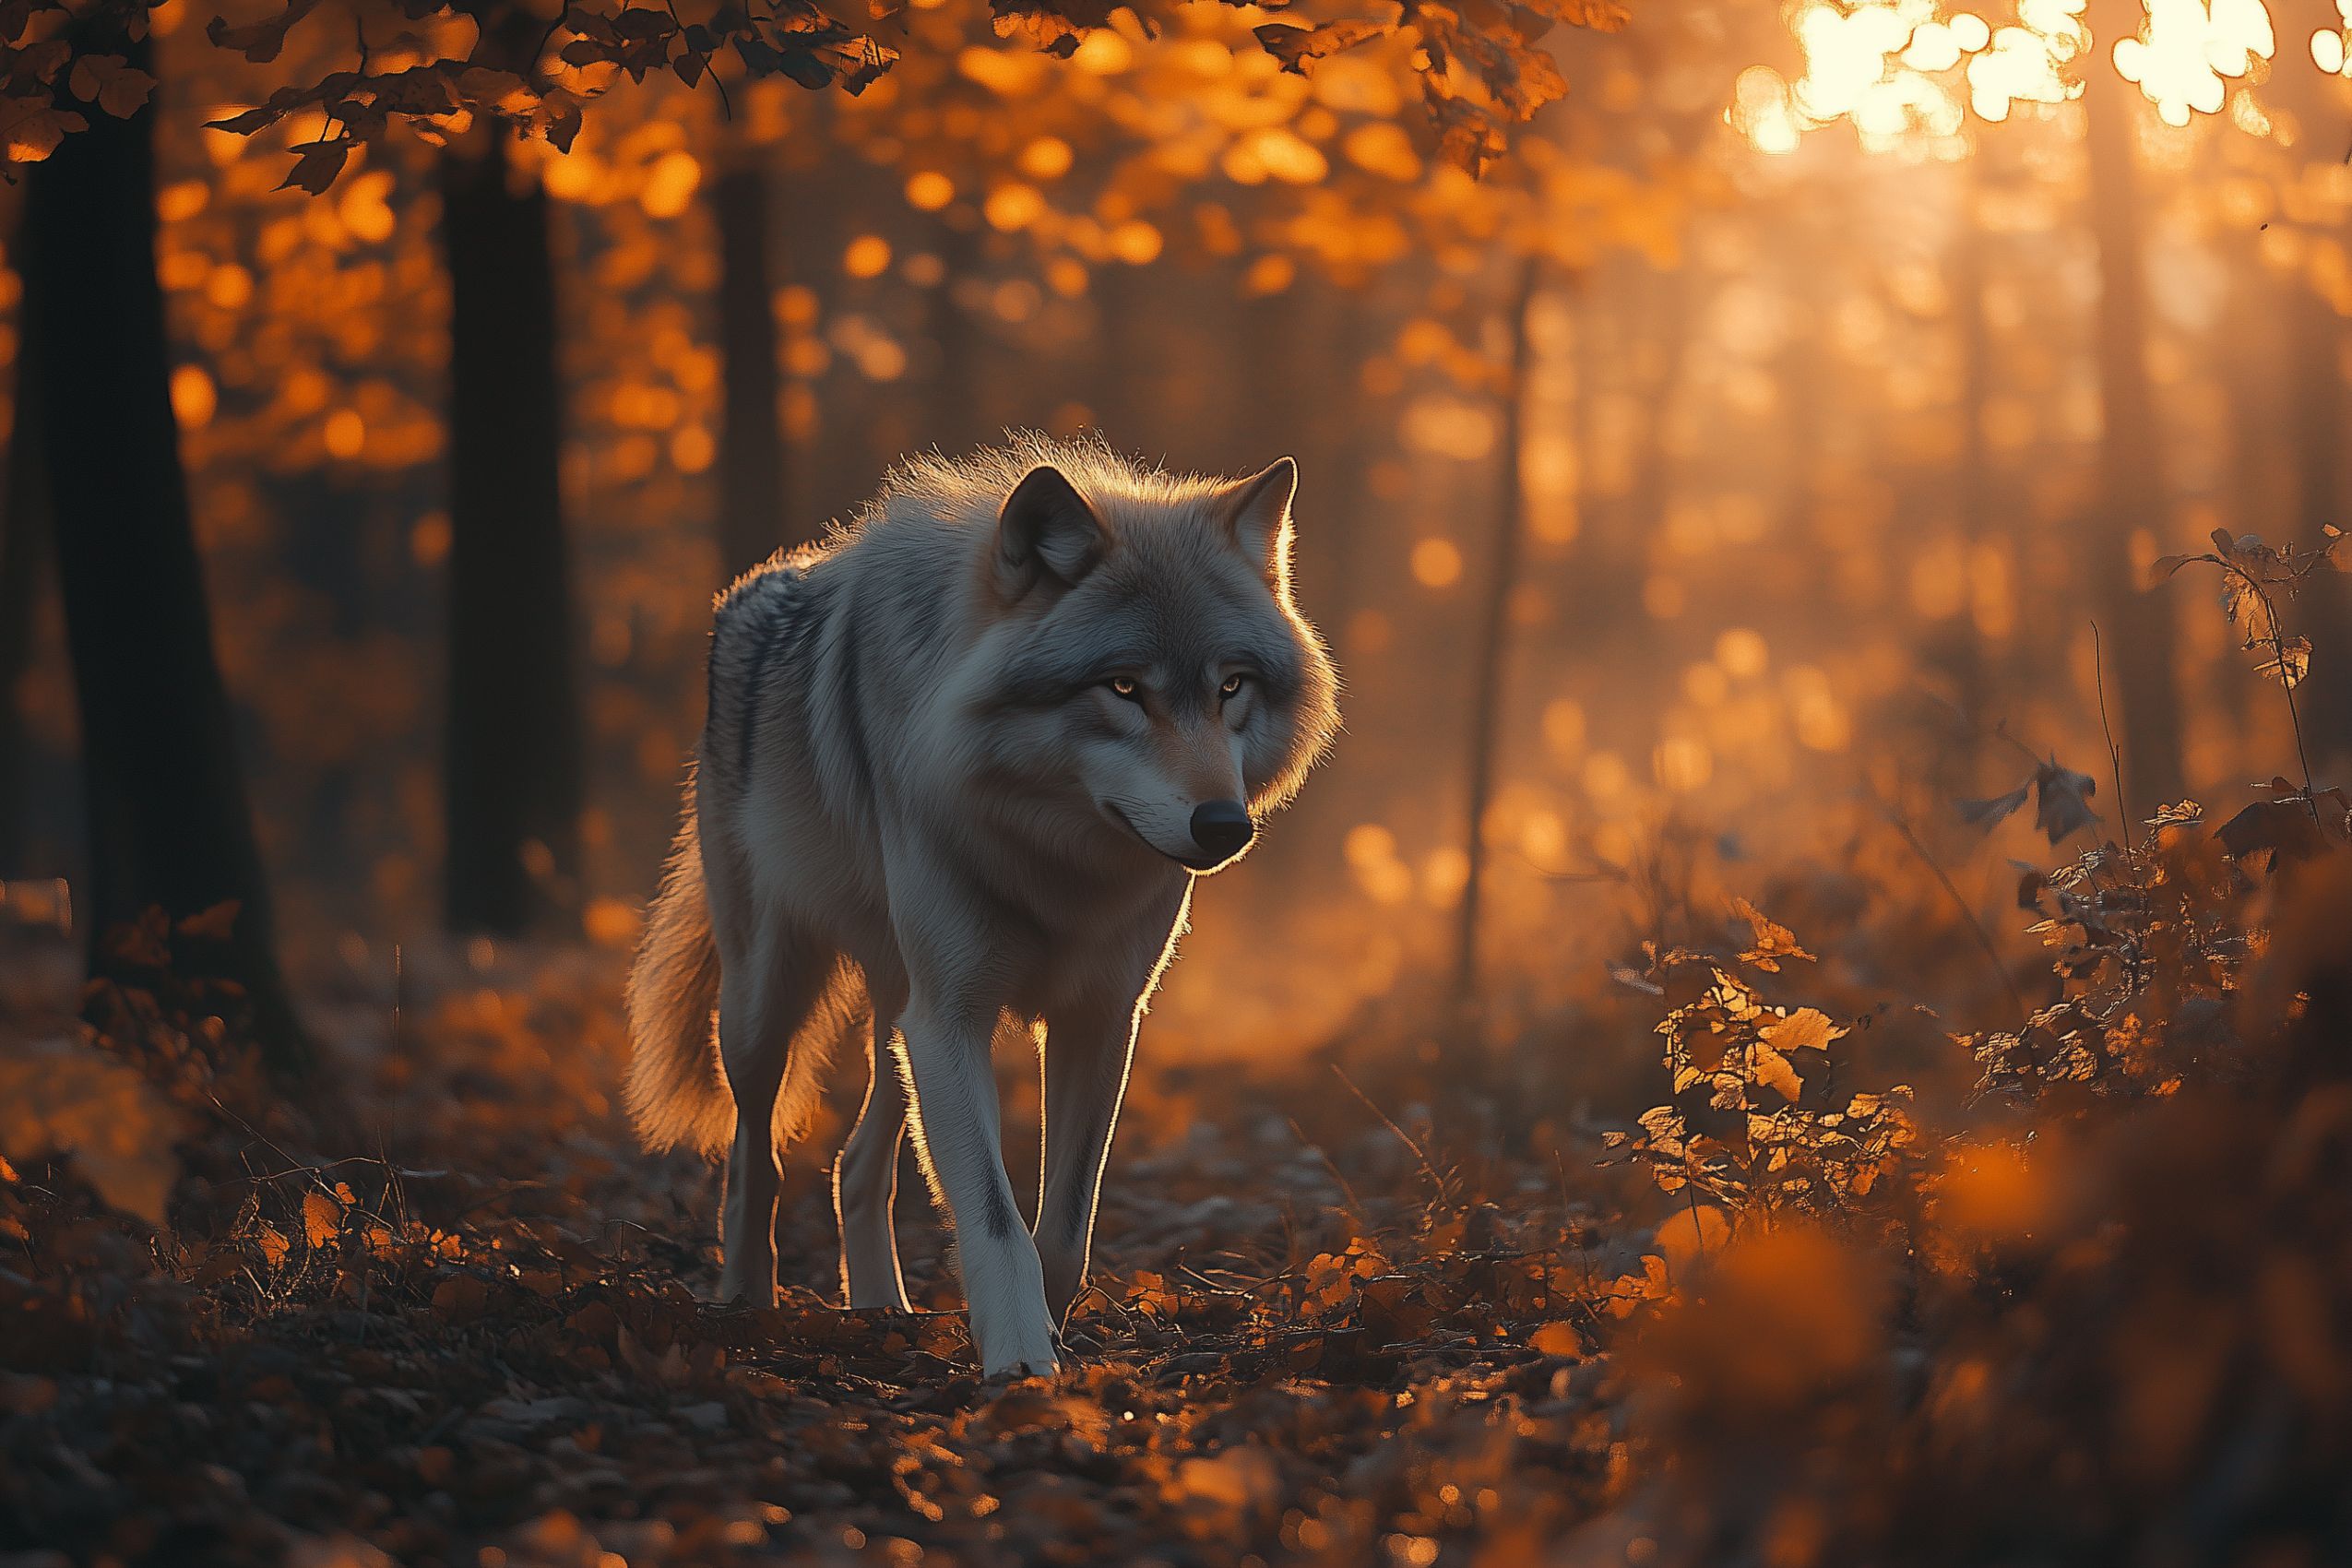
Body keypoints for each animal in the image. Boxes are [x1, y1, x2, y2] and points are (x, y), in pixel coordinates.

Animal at [624, 436, 1340, 1376]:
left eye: (1231, 687)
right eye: (1122, 688)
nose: (1223, 825)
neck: (1053, 859)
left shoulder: (1099, 1020)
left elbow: (1063, 1229)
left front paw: (1047, 1331)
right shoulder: (956, 1015)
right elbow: (996, 1219)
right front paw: (1023, 1365)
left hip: (899, 1021)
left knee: (854, 1163)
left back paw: (881, 1308)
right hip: (771, 1004)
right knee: (756, 1159)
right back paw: (745, 1304)